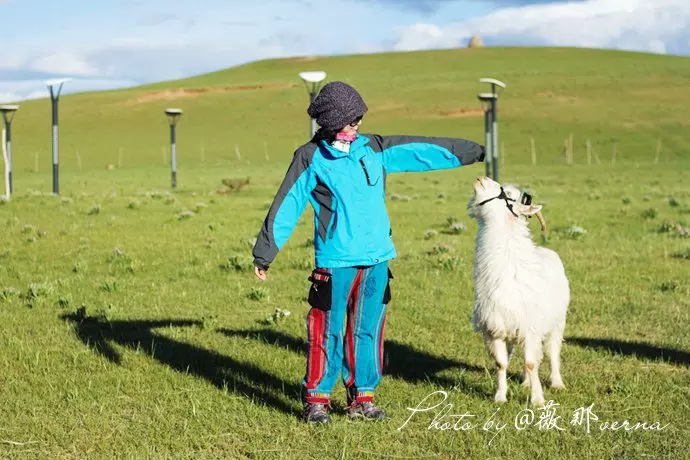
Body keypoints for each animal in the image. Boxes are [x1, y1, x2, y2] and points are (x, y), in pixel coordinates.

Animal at [464, 176, 568, 406]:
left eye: (509, 195)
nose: (481, 178)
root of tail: (544, 250)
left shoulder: (531, 328)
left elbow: (532, 363)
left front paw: (537, 400)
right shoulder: (495, 330)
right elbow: (501, 363)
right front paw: (500, 397)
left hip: (557, 323)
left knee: (552, 353)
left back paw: (556, 382)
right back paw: (526, 383)